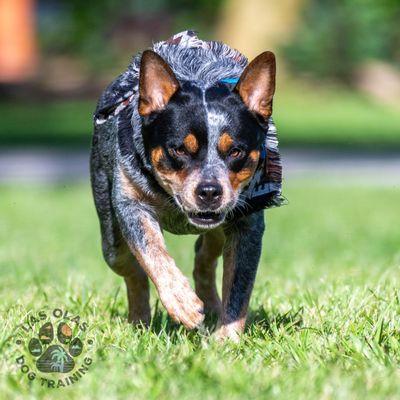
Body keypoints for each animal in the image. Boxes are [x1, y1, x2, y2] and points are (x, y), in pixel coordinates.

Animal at [92, 30, 282, 340]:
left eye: (236, 151)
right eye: (179, 149)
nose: (209, 191)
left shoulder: (248, 224)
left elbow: (239, 287)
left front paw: (226, 339)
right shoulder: (131, 204)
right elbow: (152, 253)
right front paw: (181, 302)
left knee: (204, 255)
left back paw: (211, 305)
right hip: (111, 238)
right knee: (130, 267)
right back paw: (140, 320)